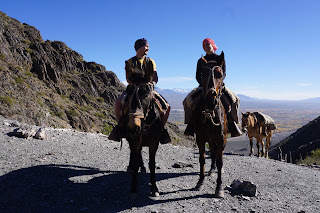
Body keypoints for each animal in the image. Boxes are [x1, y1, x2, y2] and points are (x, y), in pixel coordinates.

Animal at [189, 52, 229, 198]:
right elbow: (202, 159)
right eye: (203, 74)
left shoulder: (221, 139)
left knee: (216, 155)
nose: (211, 98)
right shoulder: (200, 139)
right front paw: (200, 182)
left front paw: (219, 188)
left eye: (220, 74)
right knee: (212, 152)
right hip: (210, 140)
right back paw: (211, 170)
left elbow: (220, 161)